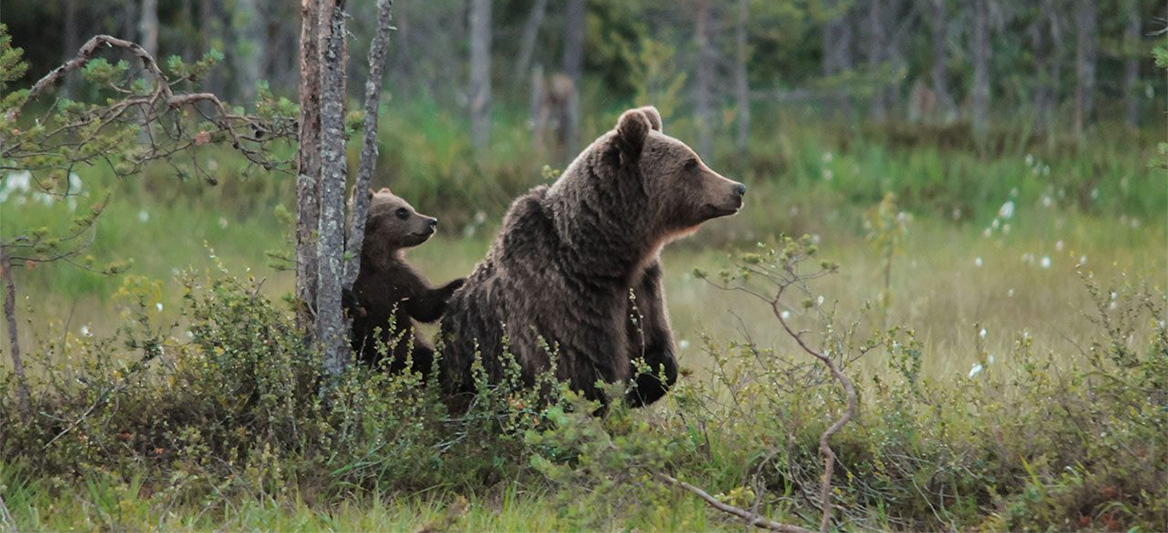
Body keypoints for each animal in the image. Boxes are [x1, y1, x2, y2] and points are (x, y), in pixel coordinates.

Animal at [350, 187, 464, 374]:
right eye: (402, 211)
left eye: (410, 207)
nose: (432, 221)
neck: (377, 261)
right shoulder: (364, 280)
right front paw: (350, 301)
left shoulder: (400, 278)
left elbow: (425, 305)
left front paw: (460, 282)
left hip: (413, 349)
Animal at [439, 106, 747, 409]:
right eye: (691, 163)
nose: (738, 188)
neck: (601, 253)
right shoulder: (566, 298)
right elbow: (580, 370)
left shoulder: (642, 284)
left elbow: (655, 343)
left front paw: (648, 377)